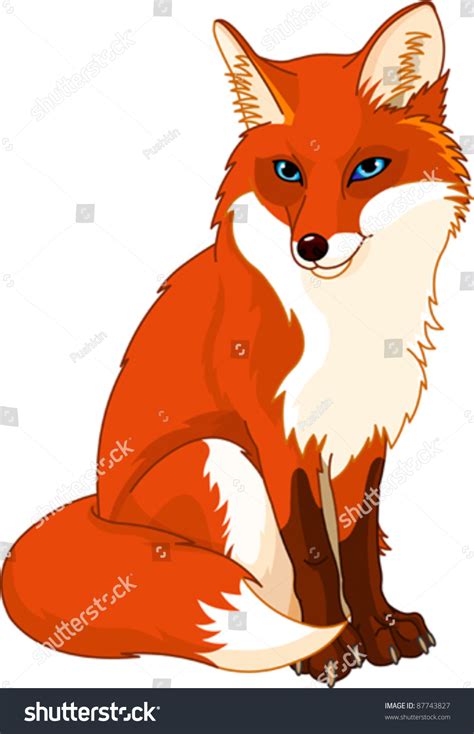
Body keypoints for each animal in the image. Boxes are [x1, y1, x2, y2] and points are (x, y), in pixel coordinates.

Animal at [1, 1, 470, 686]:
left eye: (367, 169)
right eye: (288, 172)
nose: (311, 246)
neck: (346, 323)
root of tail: (98, 510)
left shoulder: (364, 435)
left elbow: (358, 549)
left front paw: (381, 629)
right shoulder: (278, 436)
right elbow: (314, 554)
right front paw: (333, 649)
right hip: (218, 457)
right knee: (257, 594)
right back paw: (306, 641)